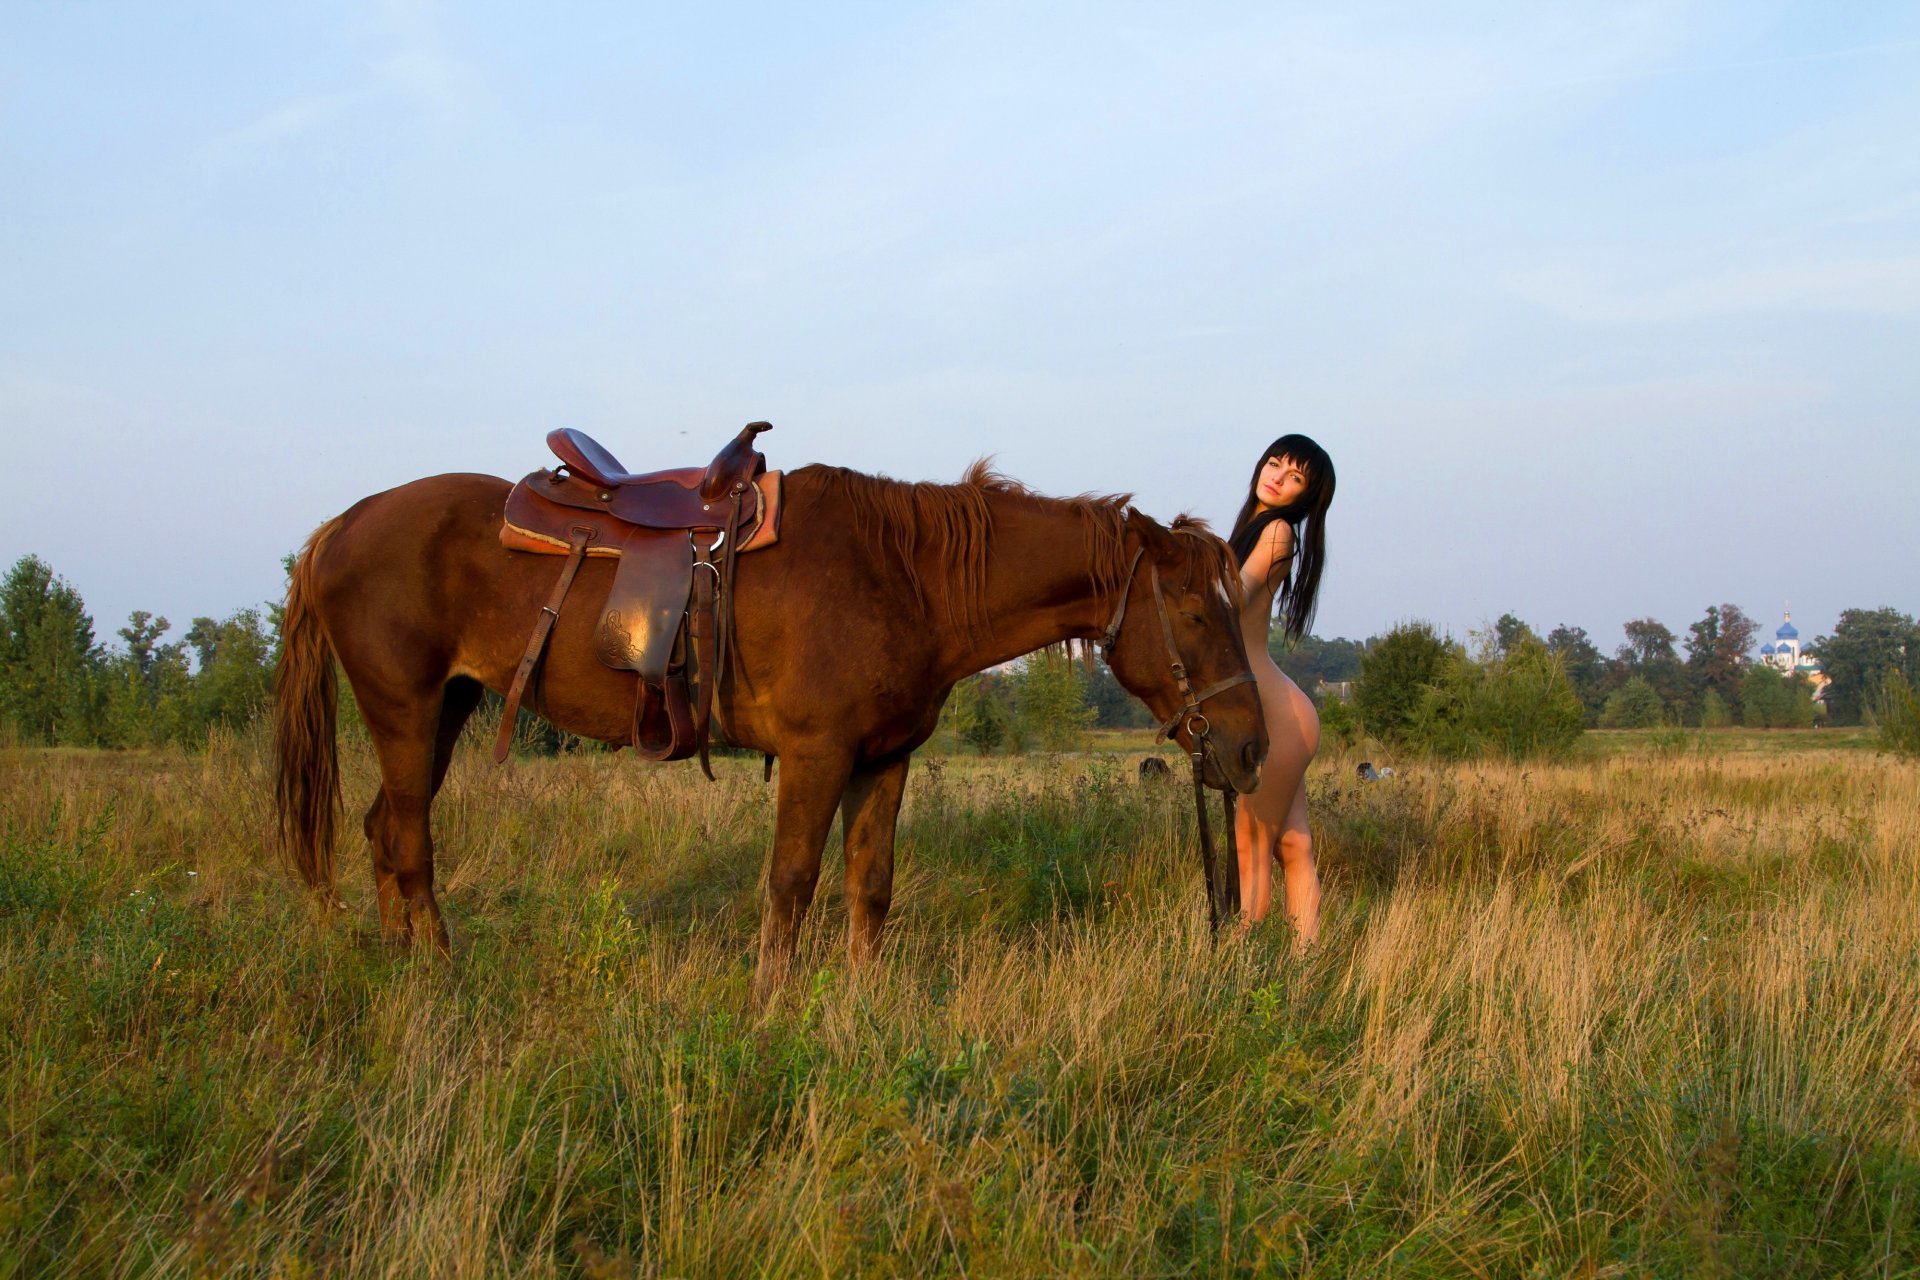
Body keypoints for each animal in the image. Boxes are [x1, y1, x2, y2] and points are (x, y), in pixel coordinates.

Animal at [274, 458, 1266, 997]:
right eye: (1192, 610)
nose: (1252, 746)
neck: (906, 578)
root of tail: (338, 527)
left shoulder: (884, 760)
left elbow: (871, 886)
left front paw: (863, 1003)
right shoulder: (815, 755)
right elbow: (790, 884)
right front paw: (770, 1003)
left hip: (444, 709)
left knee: (381, 830)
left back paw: (397, 965)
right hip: (406, 710)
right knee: (410, 843)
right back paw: (439, 977)